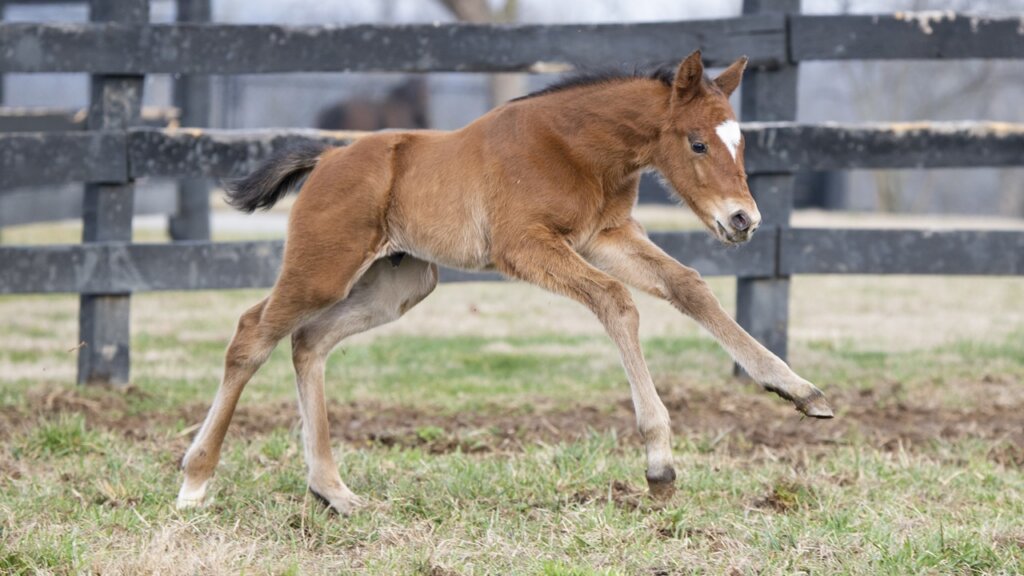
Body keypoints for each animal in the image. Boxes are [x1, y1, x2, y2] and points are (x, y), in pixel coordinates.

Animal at [177, 51, 834, 514]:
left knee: (307, 342)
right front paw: (659, 465)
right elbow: (615, 301)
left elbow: (688, 286)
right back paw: (195, 481)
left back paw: (332, 491)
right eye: (697, 143)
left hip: (399, 283)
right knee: (251, 334)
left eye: (739, 143)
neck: (573, 146)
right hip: (323, 269)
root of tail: (329, 157)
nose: (743, 220)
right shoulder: (527, 245)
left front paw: (799, 391)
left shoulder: (607, 236)